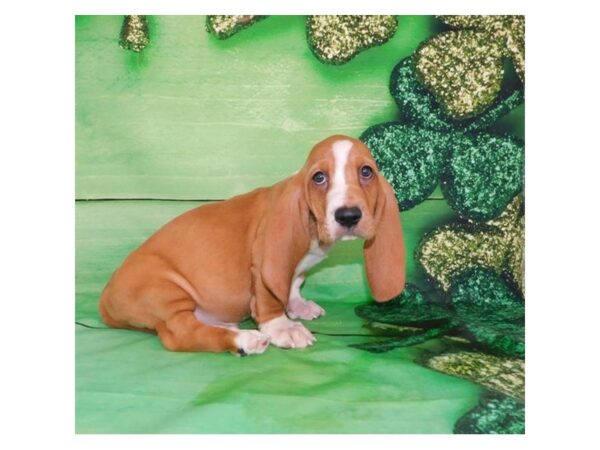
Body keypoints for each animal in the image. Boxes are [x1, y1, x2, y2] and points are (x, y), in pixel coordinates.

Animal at [99, 134, 408, 356]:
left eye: (366, 172)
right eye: (319, 177)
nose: (348, 216)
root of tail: (105, 300)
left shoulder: (296, 269)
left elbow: (293, 282)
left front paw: (297, 305)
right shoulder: (263, 265)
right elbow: (270, 299)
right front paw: (283, 328)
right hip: (165, 290)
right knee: (180, 333)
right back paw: (244, 339)